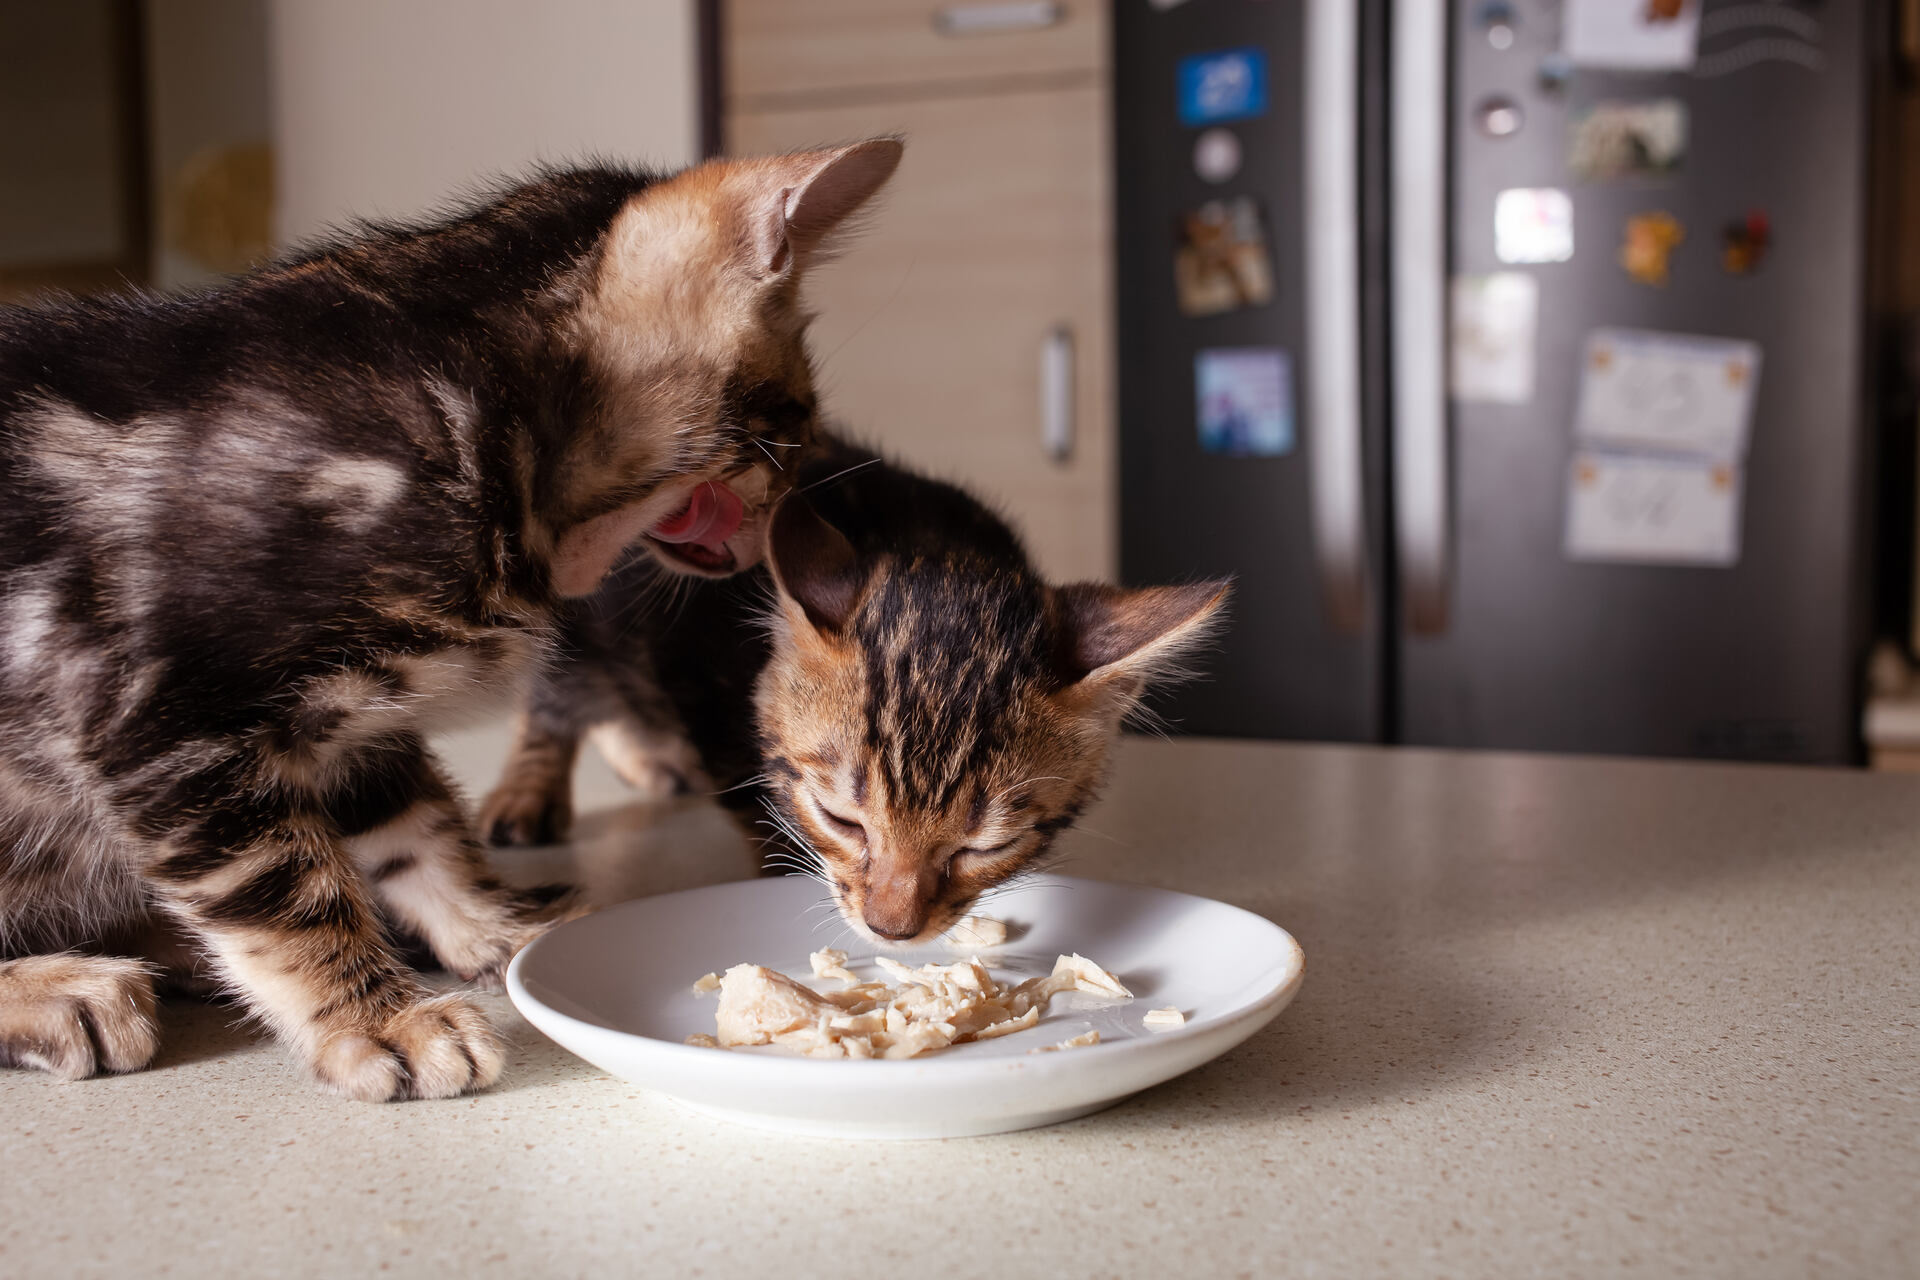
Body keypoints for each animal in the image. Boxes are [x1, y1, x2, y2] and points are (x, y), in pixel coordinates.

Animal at [0, 140, 906, 1105]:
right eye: (789, 430)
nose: (776, 523)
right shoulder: (166, 721)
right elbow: (284, 888)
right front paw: (375, 1020)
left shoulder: (354, 716)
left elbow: (420, 827)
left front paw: (496, 925)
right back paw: (69, 990)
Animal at [483, 435, 1228, 948]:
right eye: (840, 818)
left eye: (984, 848)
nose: (891, 930)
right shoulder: (698, 680)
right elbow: (757, 804)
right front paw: (777, 870)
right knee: (553, 693)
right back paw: (527, 791)